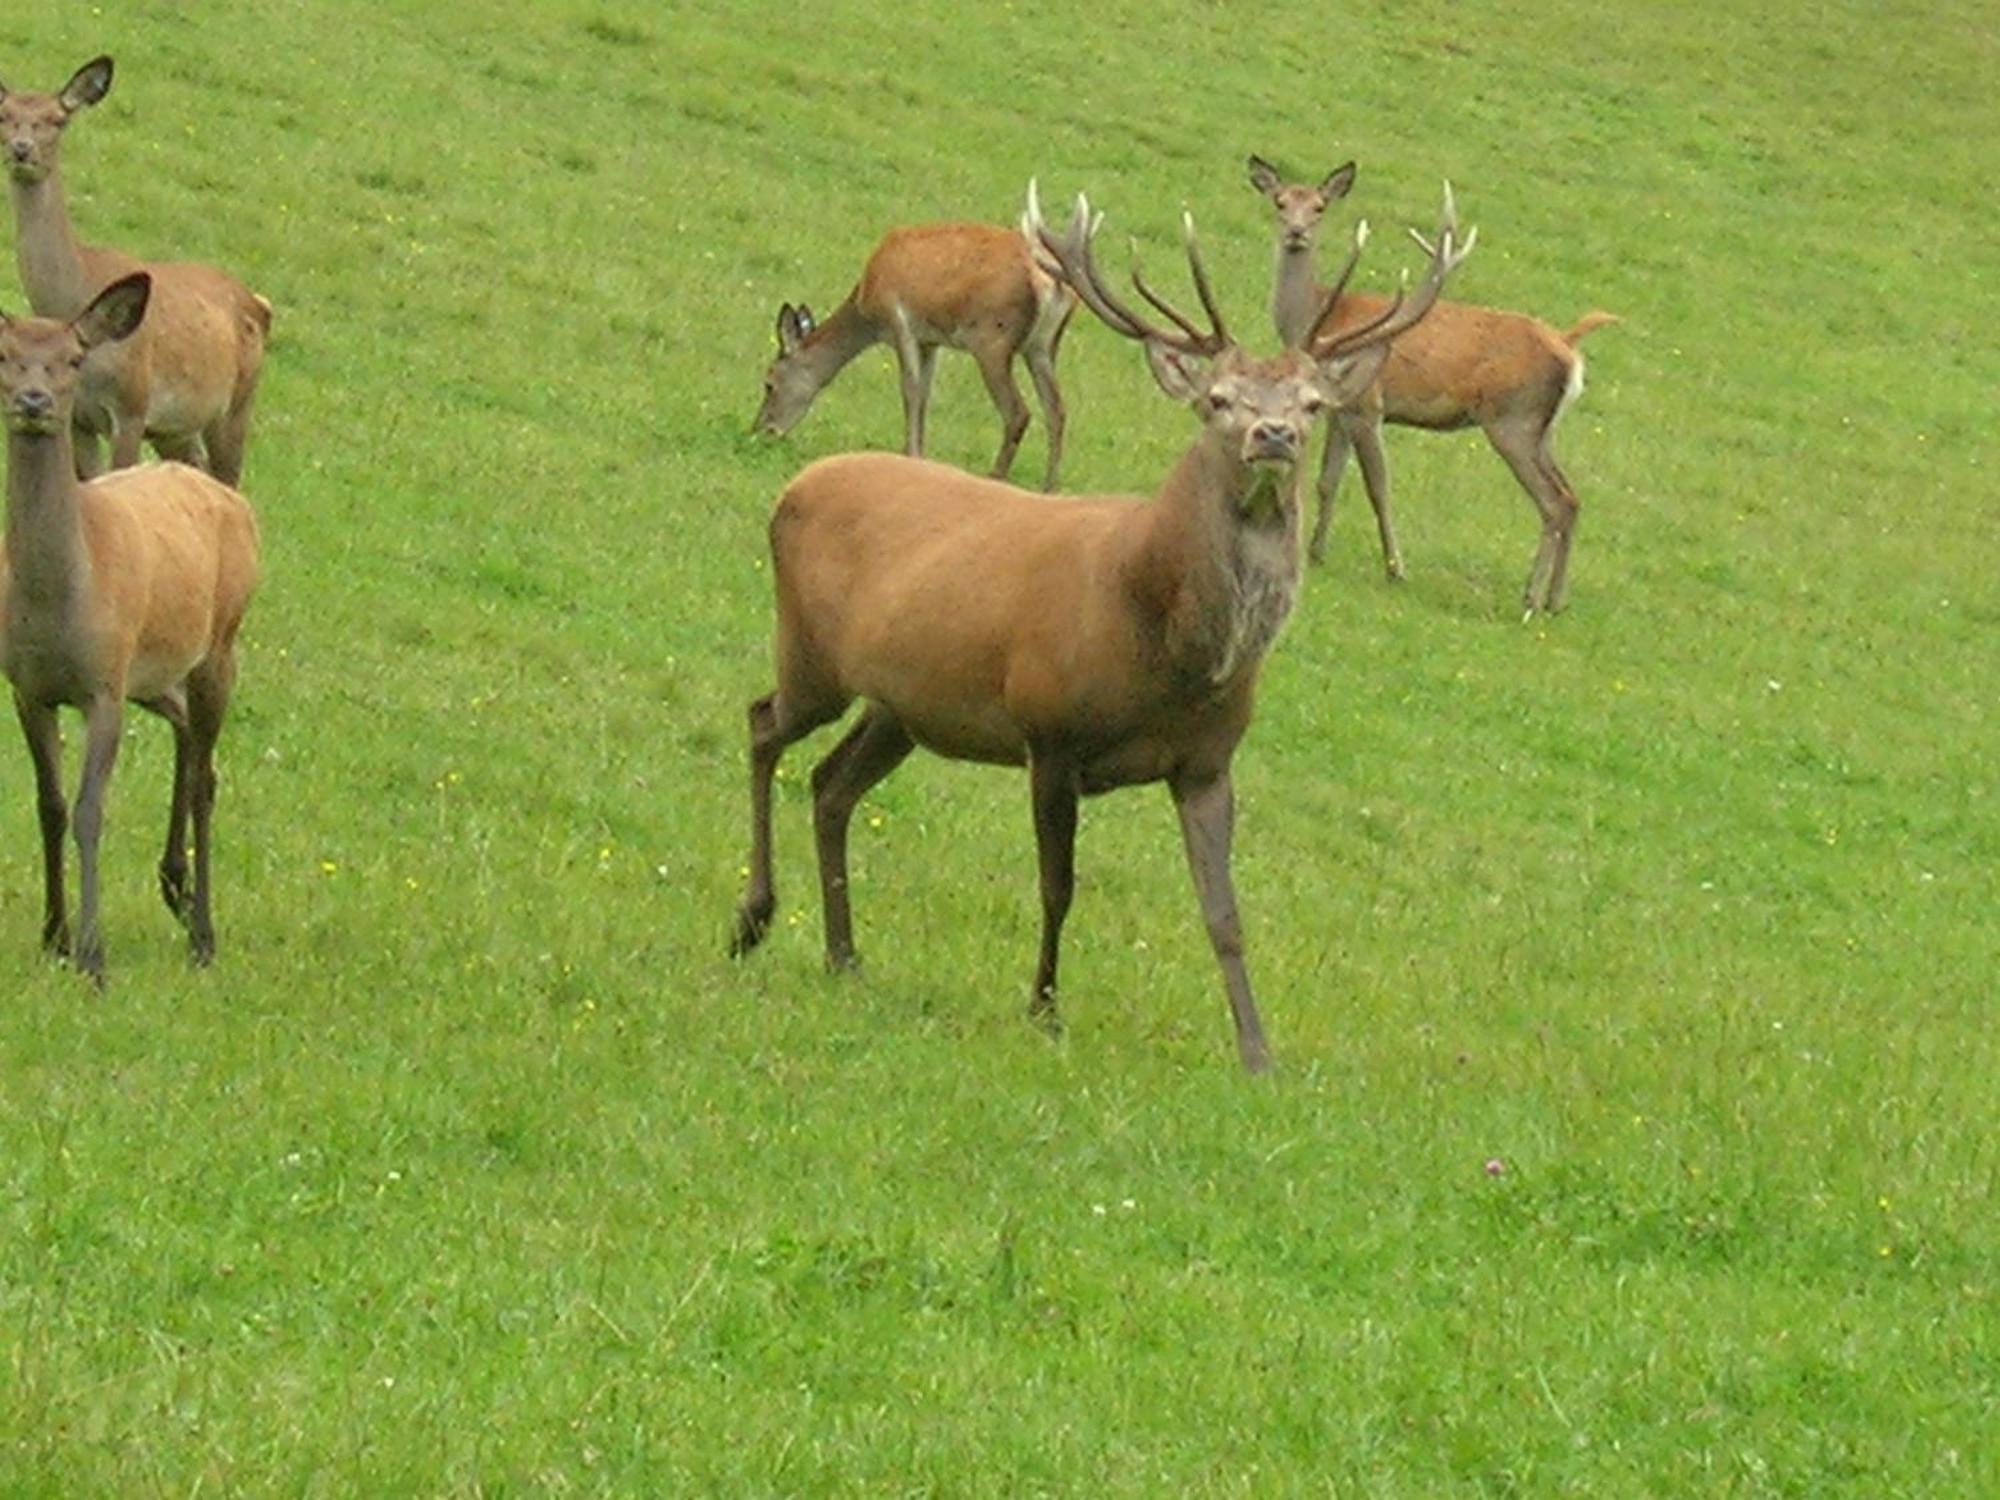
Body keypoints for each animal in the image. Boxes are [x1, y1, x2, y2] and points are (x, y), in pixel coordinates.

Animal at [0, 53, 270, 484]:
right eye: (4, 115)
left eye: (58, 119)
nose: (21, 149)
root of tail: (261, 304)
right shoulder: (78, 418)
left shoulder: (131, 407)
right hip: (176, 428)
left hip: (236, 405)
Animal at [0, 274, 262, 980]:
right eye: (6, 356)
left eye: (72, 360)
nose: (33, 401)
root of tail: (236, 504)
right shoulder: (27, 687)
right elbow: (49, 805)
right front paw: (54, 937)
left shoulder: (103, 683)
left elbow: (91, 810)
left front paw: (93, 957)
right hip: (154, 671)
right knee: (189, 738)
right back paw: (175, 884)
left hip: (219, 645)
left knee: (205, 776)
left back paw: (204, 935)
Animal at [752, 222, 1080, 488]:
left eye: (769, 383)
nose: (761, 429)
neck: (867, 310)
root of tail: (1054, 284)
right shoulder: (929, 341)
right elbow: (924, 395)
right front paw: (921, 455)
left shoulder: (899, 319)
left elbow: (909, 390)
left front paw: (908, 454)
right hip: (1042, 346)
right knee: (1057, 409)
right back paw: (1050, 487)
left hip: (993, 341)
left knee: (1018, 412)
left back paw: (996, 477)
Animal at [1240, 154, 1616, 616]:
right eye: (1280, 202)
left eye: (1319, 206)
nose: (1296, 232)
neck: (1316, 316)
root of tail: (1569, 350)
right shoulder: (1339, 411)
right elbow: (1328, 481)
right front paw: (1316, 552)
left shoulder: (1367, 405)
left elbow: (1378, 487)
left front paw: (1395, 568)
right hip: (1544, 430)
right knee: (1572, 497)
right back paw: (1555, 600)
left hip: (1513, 419)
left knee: (1554, 501)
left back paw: (1532, 596)